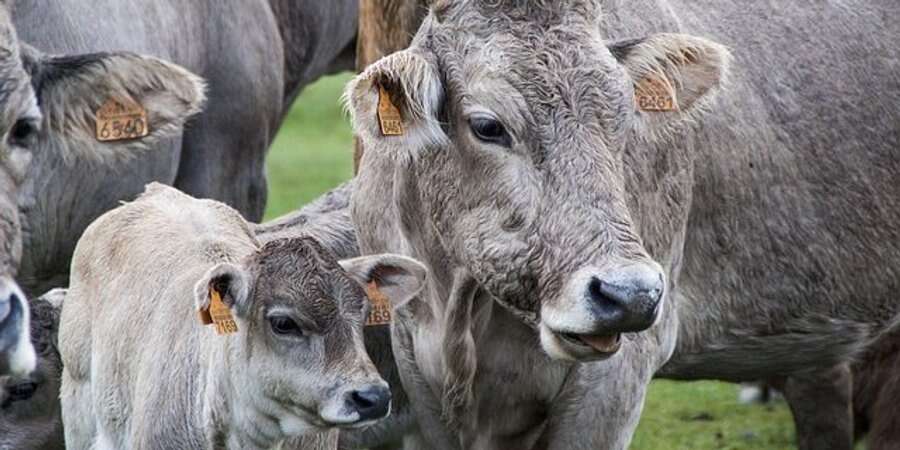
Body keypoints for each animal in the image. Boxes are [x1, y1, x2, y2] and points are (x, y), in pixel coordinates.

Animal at [344, 0, 900, 448]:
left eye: (624, 117)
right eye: (487, 126)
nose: (630, 294)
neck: (460, 308)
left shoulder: (615, 380)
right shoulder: (418, 372)